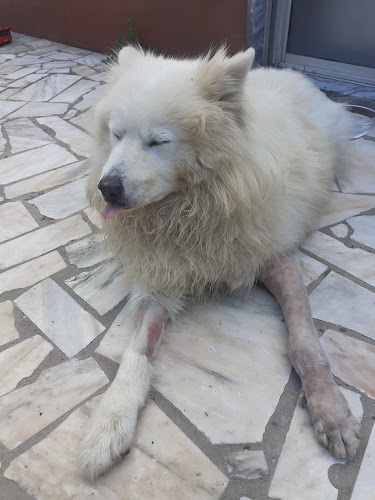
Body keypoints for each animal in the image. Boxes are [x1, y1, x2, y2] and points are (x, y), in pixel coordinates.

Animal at [83, 47, 362, 480]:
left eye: (158, 141)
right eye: (116, 134)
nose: (107, 188)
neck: (193, 207)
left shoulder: (275, 260)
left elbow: (307, 345)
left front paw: (330, 410)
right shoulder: (165, 276)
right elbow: (136, 352)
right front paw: (110, 420)